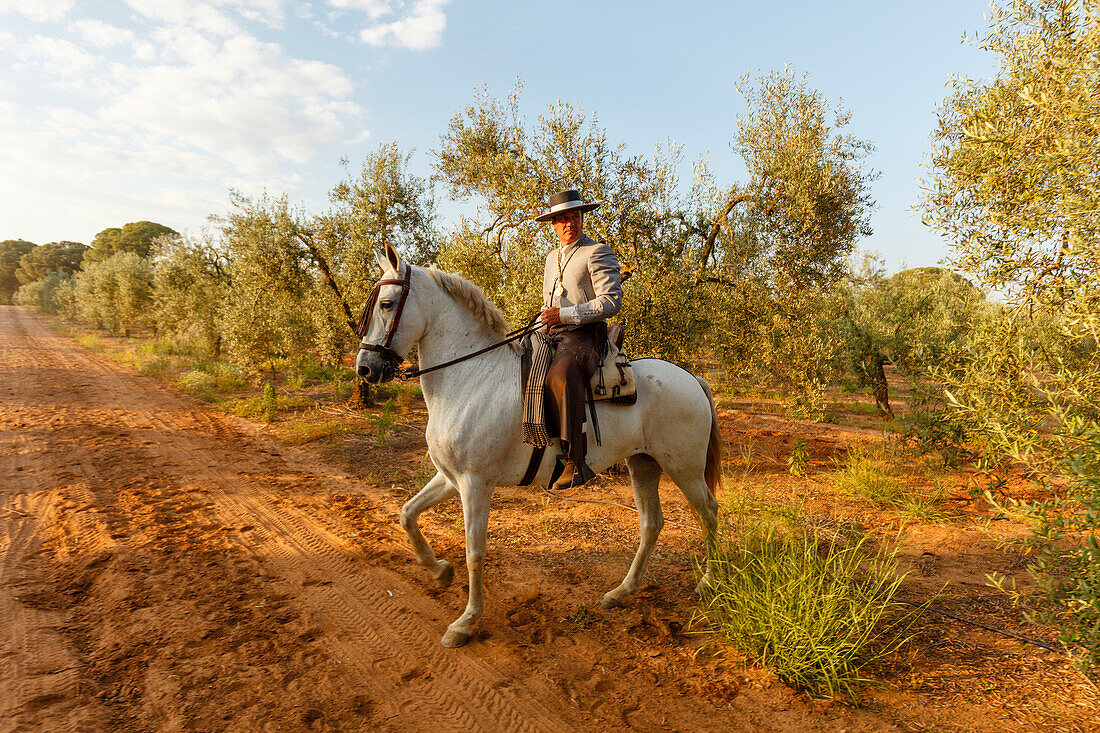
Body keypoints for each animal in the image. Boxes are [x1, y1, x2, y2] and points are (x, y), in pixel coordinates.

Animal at [358, 244, 721, 647]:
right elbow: (407, 514)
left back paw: (708, 584)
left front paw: (466, 621)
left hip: (684, 468)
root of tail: (691, 377)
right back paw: (622, 591)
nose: (365, 368)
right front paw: (440, 572)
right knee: (651, 523)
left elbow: (474, 552)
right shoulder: (451, 477)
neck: (471, 377)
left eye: (387, 303)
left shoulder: (475, 484)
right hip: (643, 464)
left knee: (709, 513)